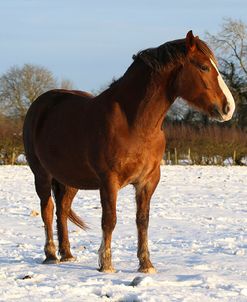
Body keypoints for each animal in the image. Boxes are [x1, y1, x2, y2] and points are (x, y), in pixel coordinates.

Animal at [23, 31, 235, 274]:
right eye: (203, 67)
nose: (229, 108)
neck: (134, 123)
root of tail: (41, 104)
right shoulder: (108, 181)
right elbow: (109, 219)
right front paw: (106, 264)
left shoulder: (148, 181)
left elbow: (142, 220)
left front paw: (146, 265)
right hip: (41, 175)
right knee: (48, 210)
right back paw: (50, 255)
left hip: (70, 180)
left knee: (63, 210)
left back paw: (67, 254)